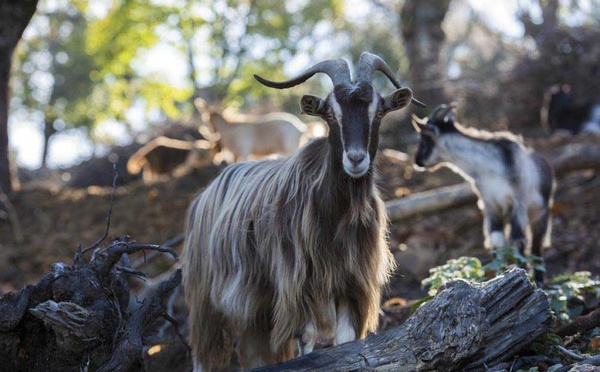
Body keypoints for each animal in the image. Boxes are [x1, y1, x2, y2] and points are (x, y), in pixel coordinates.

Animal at [183, 51, 422, 370]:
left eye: (379, 113)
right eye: (330, 114)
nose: (355, 159)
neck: (339, 216)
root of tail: (203, 196)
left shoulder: (352, 283)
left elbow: (345, 340)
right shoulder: (298, 285)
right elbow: (306, 339)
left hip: (256, 304)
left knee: (251, 352)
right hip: (205, 301)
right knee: (204, 352)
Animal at [412, 103, 552, 280]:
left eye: (425, 137)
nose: (418, 161)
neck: (489, 168)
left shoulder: (517, 203)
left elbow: (518, 240)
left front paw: (522, 273)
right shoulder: (491, 206)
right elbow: (496, 242)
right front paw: (500, 274)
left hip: (540, 213)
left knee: (536, 246)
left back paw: (540, 281)